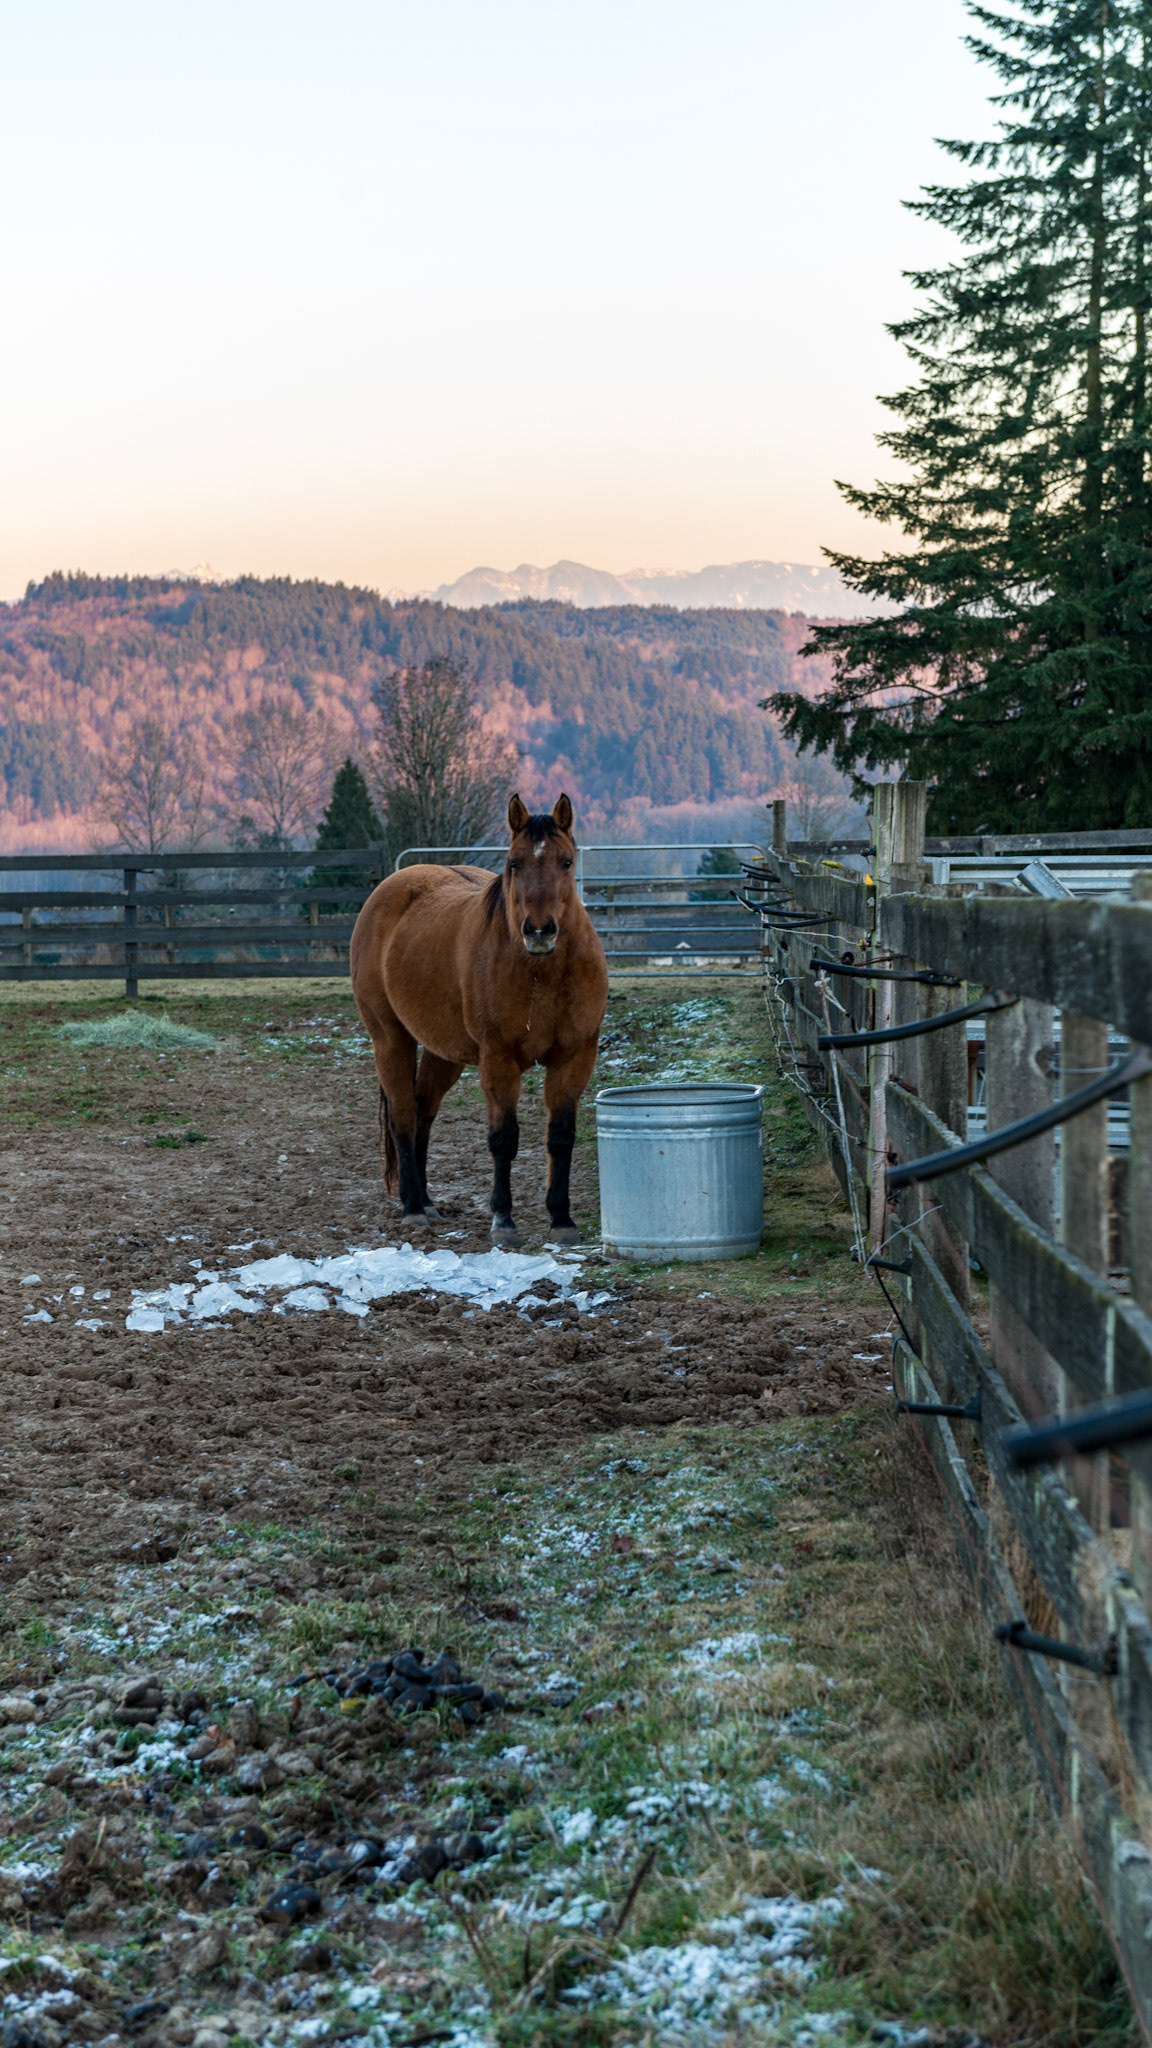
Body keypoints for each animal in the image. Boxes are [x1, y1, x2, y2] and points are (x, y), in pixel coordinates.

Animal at [350, 794, 609, 1246]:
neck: (542, 974)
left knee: (423, 1110)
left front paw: (561, 1218)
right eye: (514, 863)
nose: (539, 932)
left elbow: (561, 1137)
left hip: (443, 1052)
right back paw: (412, 1207)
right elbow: (503, 1139)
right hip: (390, 1040)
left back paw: (426, 1200)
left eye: (566, 862)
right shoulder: (498, 1060)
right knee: (403, 1115)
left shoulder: (574, 1057)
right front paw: (503, 1220)